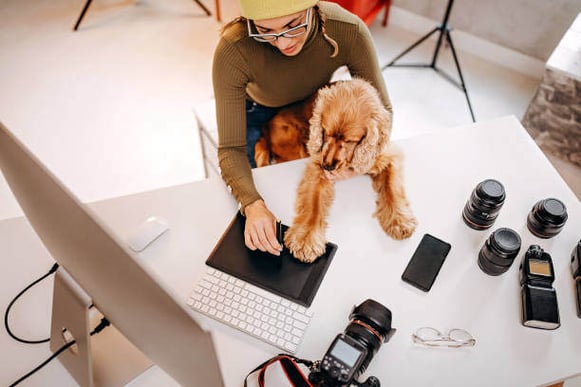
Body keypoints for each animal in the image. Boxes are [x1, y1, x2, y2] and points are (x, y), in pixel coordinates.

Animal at [282, 77, 414, 262]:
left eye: (350, 140)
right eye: (325, 132)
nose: (327, 165)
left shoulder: (387, 156)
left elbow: (391, 188)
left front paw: (399, 220)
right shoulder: (316, 167)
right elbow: (313, 203)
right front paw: (306, 239)